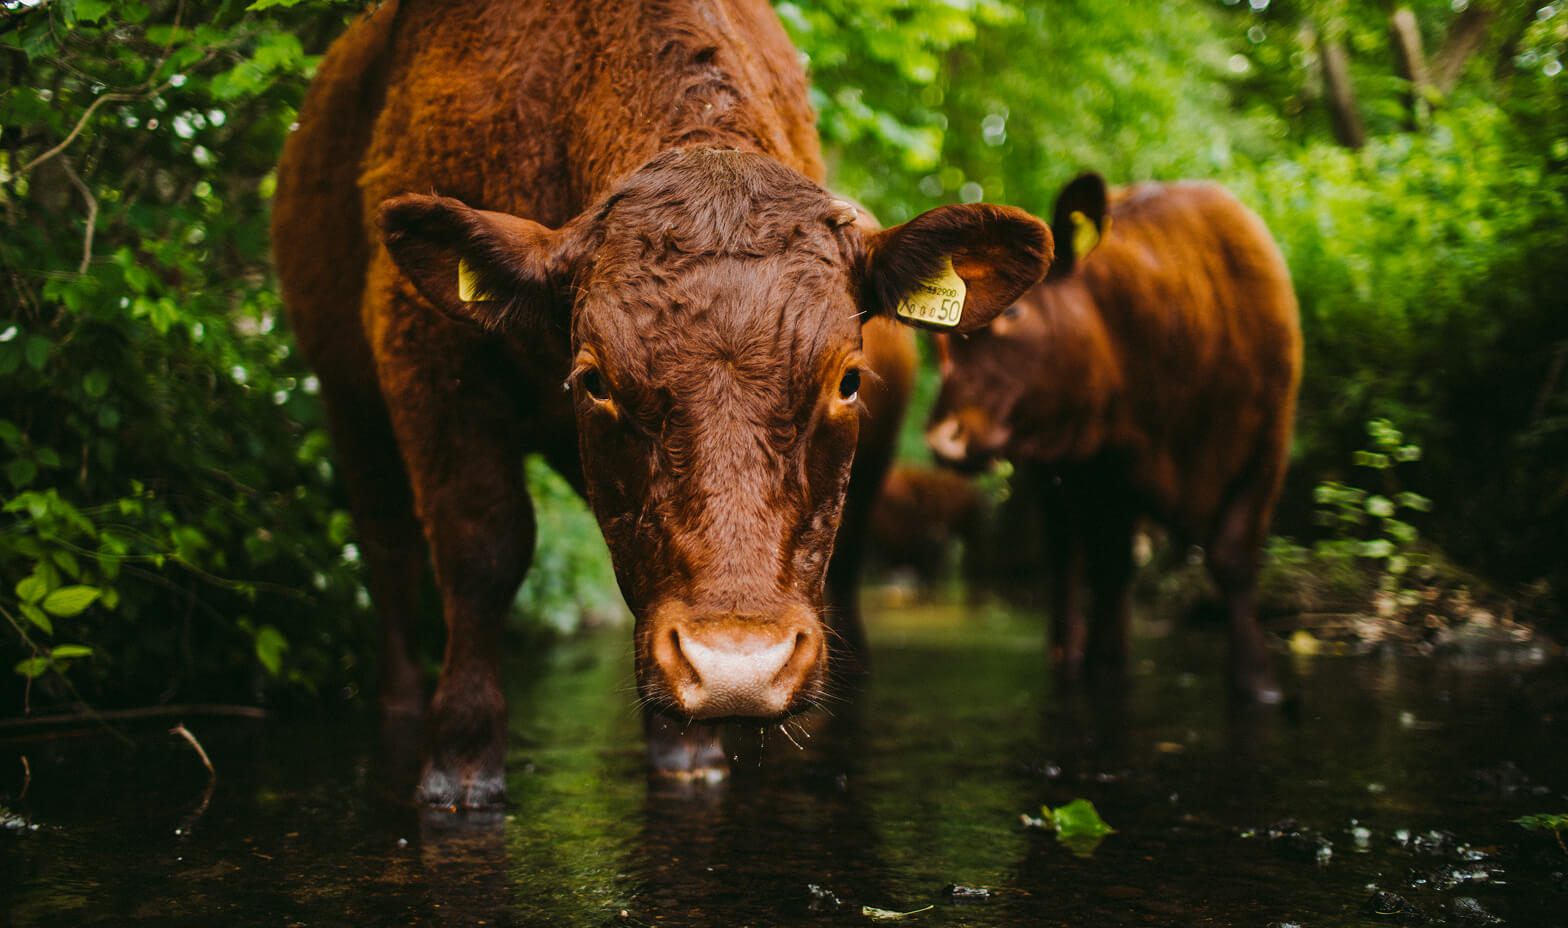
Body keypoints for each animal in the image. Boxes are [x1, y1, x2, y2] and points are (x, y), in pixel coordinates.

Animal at [271, 0, 1051, 809]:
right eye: (596, 380)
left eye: (848, 380)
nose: (739, 667)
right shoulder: (427, 354)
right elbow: (482, 550)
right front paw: (460, 757)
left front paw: (688, 750)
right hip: (348, 399)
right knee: (388, 547)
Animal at [925, 173, 1301, 702]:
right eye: (939, 337)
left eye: (1014, 314)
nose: (943, 438)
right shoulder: (1107, 473)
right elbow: (1108, 570)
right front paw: (1102, 669)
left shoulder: (1267, 451)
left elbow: (1234, 560)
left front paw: (1258, 683)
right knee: (1069, 562)